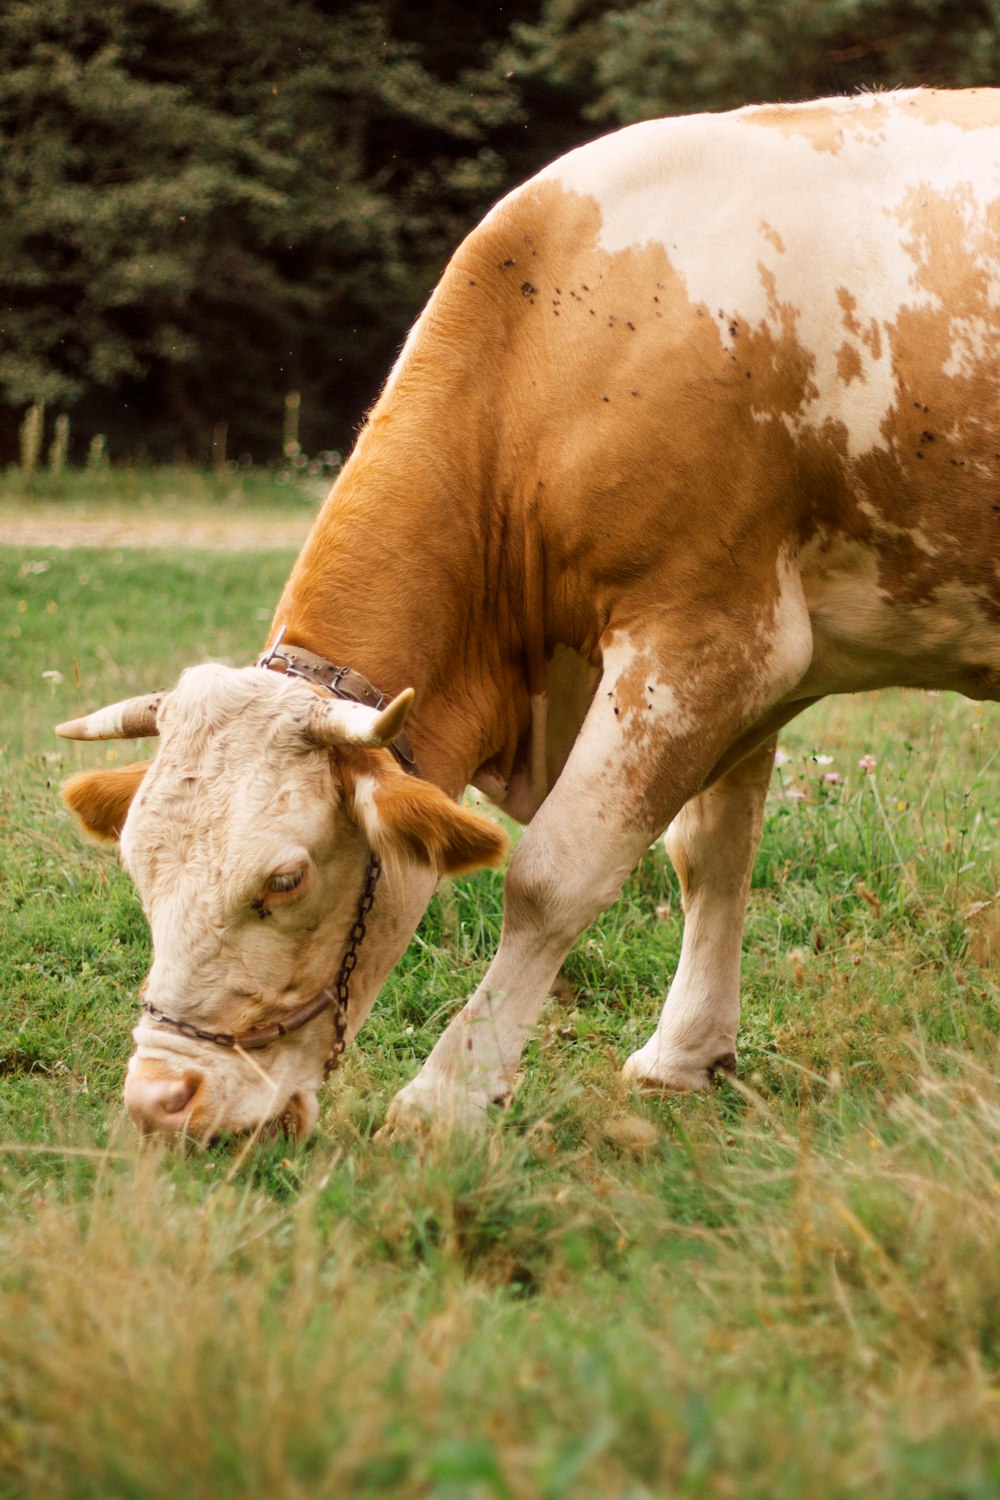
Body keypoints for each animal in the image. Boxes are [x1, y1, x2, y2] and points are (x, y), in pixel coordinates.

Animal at [58, 90, 995, 1134]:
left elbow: (555, 876)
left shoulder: (705, 641)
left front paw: (446, 1097)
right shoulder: (757, 653)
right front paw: (684, 1055)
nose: (160, 1098)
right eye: (138, 865)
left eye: (285, 879)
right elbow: (712, 853)